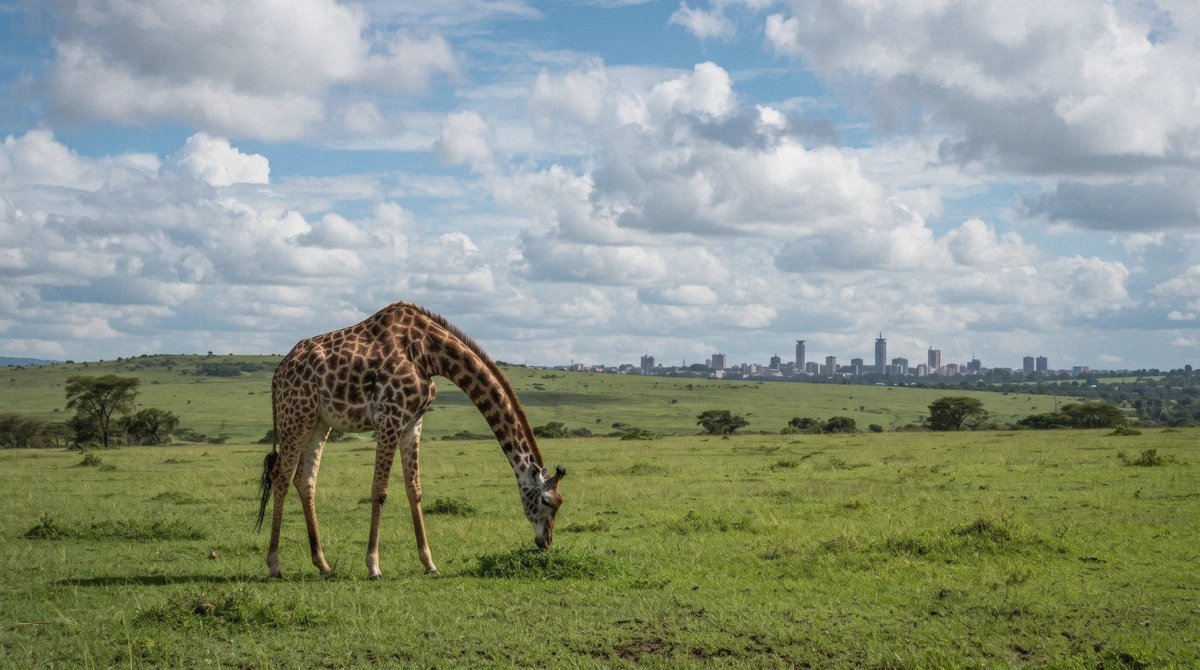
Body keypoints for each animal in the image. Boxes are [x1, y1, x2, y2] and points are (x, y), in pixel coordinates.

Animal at [256, 302, 566, 579]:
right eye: (547, 501)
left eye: (560, 502)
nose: (546, 543)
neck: (429, 353)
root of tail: (277, 374)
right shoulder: (390, 418)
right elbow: (379, 490)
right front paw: (374, 567)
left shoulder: (412, 423)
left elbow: (414, 489)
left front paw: (430, 564)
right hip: (296, 416)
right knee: (280, 476)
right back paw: (274, 566)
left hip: (319, 423)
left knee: (305, 479)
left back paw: (323, 565)